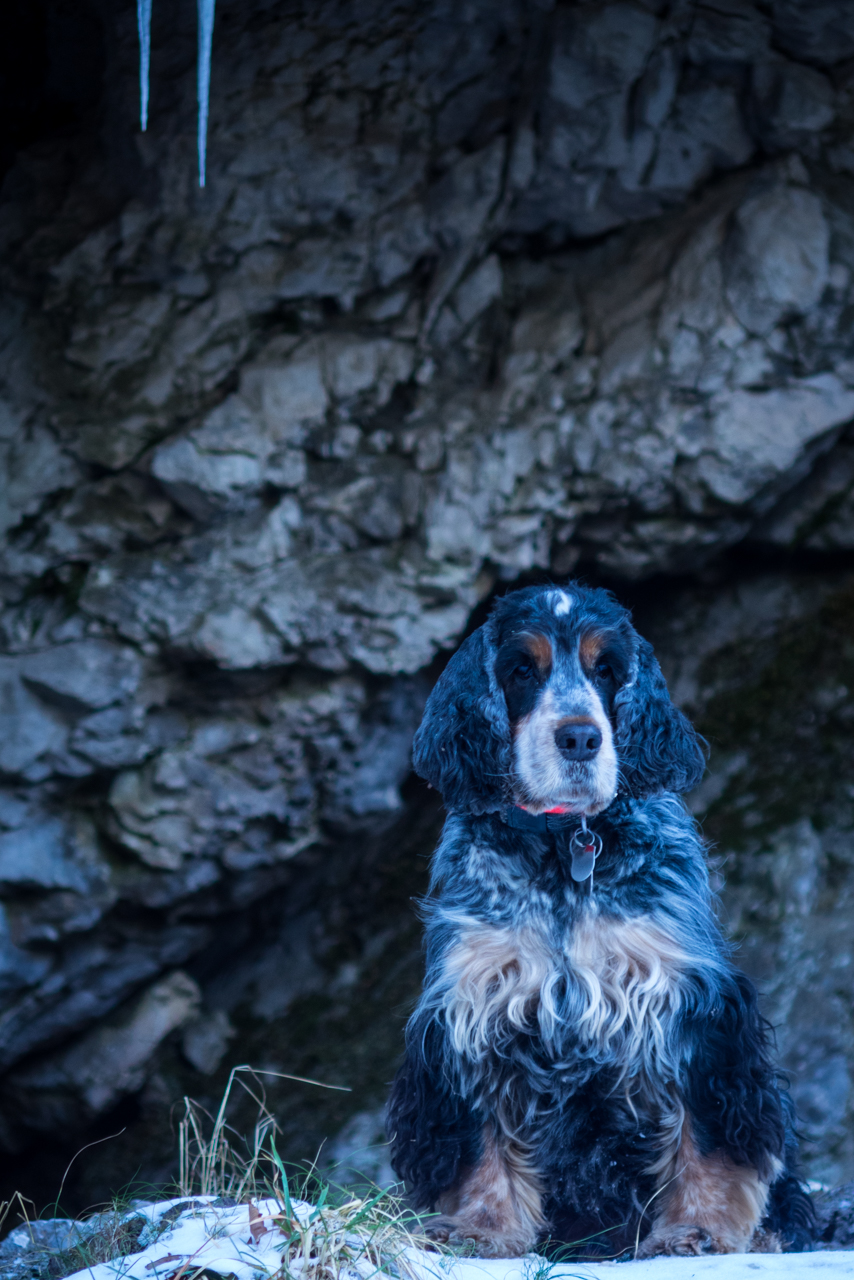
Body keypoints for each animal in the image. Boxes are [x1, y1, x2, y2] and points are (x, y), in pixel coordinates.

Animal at [386, 583, 814, 1259]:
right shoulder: (471, 1004)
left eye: (606, 669)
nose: (581, 738)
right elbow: (480, 1139)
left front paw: (698, 1230)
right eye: (521, 670)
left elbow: (708, 1136)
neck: (565, 845)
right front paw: (481, 1229)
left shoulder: (690, 1000)